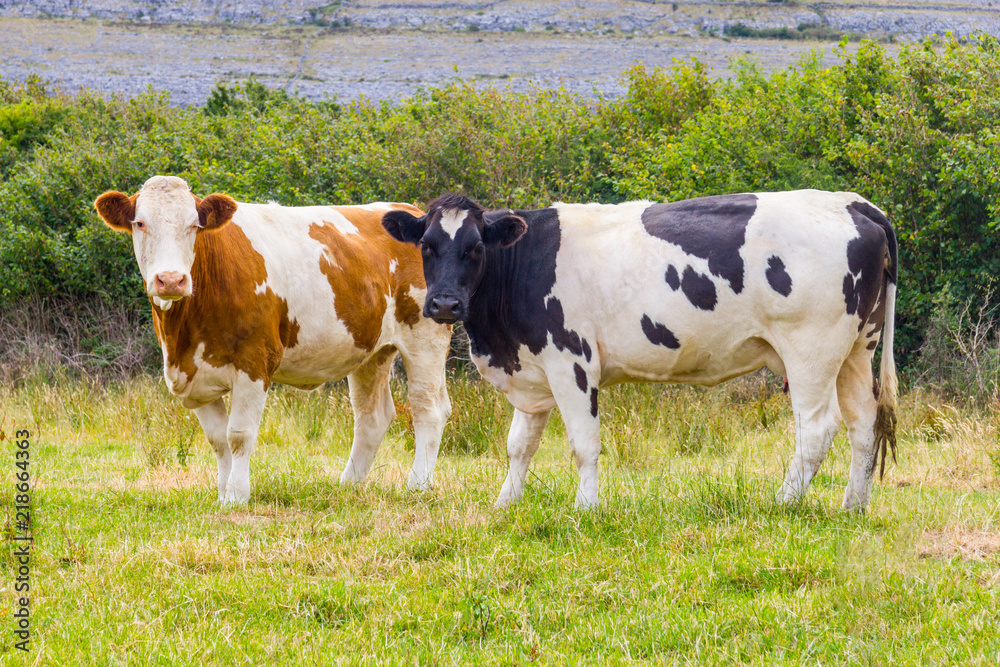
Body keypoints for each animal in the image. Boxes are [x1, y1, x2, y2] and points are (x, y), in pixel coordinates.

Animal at [95, 175, 452, 504]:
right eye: (140, 223)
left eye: (194, 225)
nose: (171, 279)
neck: (183, 334)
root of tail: (411, 211)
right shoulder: (194, 374)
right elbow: (218, 440)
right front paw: (223, 494)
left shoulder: (255, 361)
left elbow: (239, 435)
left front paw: (237, 496)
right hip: (371, 349)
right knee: (371, 416)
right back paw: (349, 484)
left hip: (425, 339)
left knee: (428, 410)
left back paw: (418, 485)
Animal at [384, 190, 900, 516]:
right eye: (426, 247)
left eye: (475, 248)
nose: (444, 304)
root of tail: (854, 203)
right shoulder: (533, 369)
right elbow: (519, 445)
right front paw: (505, 504)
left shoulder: (572, 362)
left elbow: (584, 444)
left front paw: (585, 508)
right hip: (857, 348)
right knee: (863, 423)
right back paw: (853, 506)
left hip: (811, 349)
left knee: (817, 428)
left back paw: (784, 501)